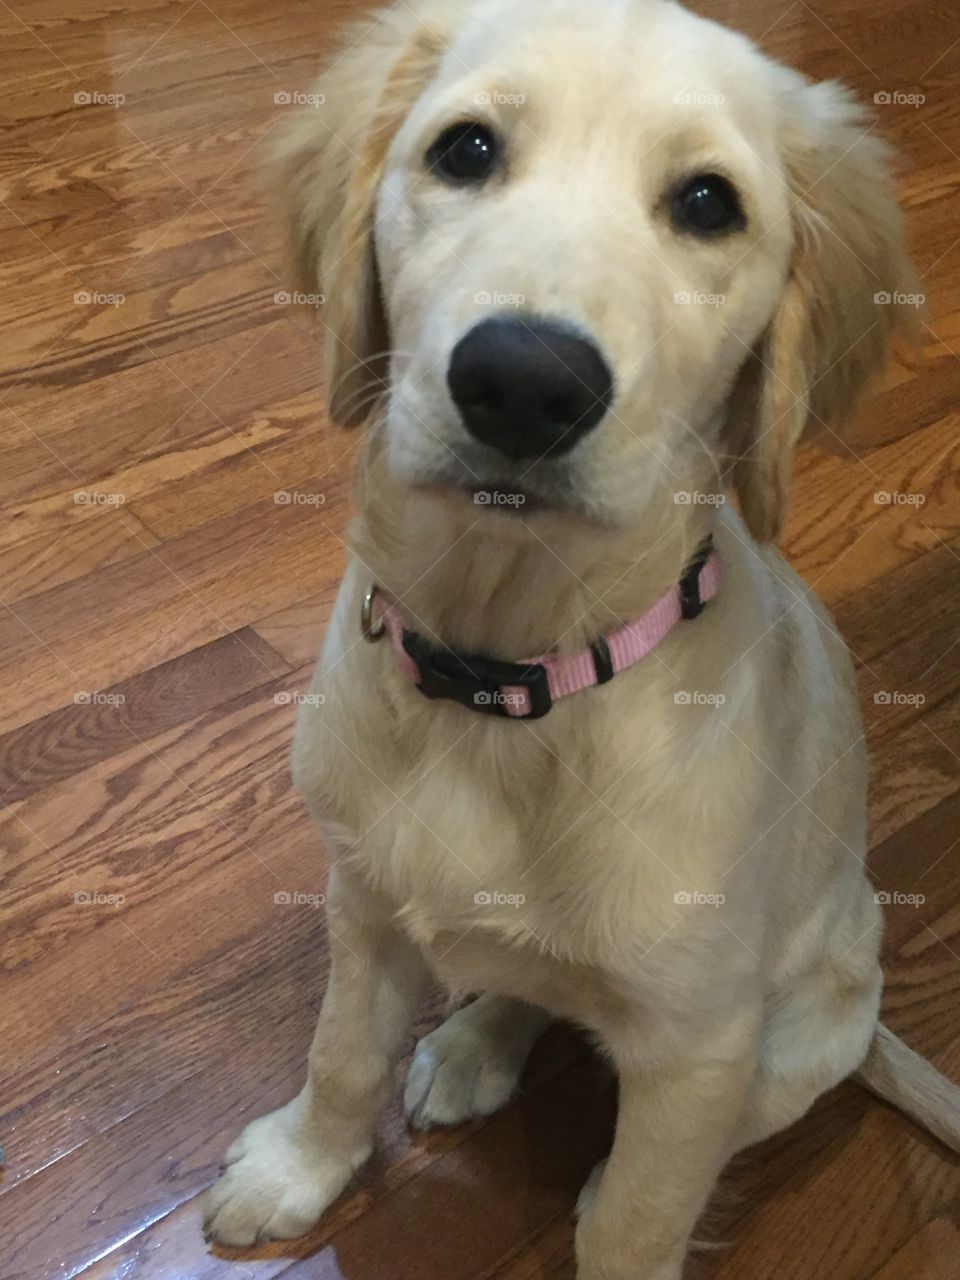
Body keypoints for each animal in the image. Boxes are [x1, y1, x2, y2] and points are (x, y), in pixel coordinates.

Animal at [204, 2, 960, 1280]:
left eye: (708, 204)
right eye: (464, 150)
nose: (522, 380)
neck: (507, 677)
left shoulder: (698, 1051)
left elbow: (638, 1218)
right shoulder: (361, 897)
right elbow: (340, 1052)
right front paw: (297, 1169)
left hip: (797, 1035)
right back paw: (474, 1043)